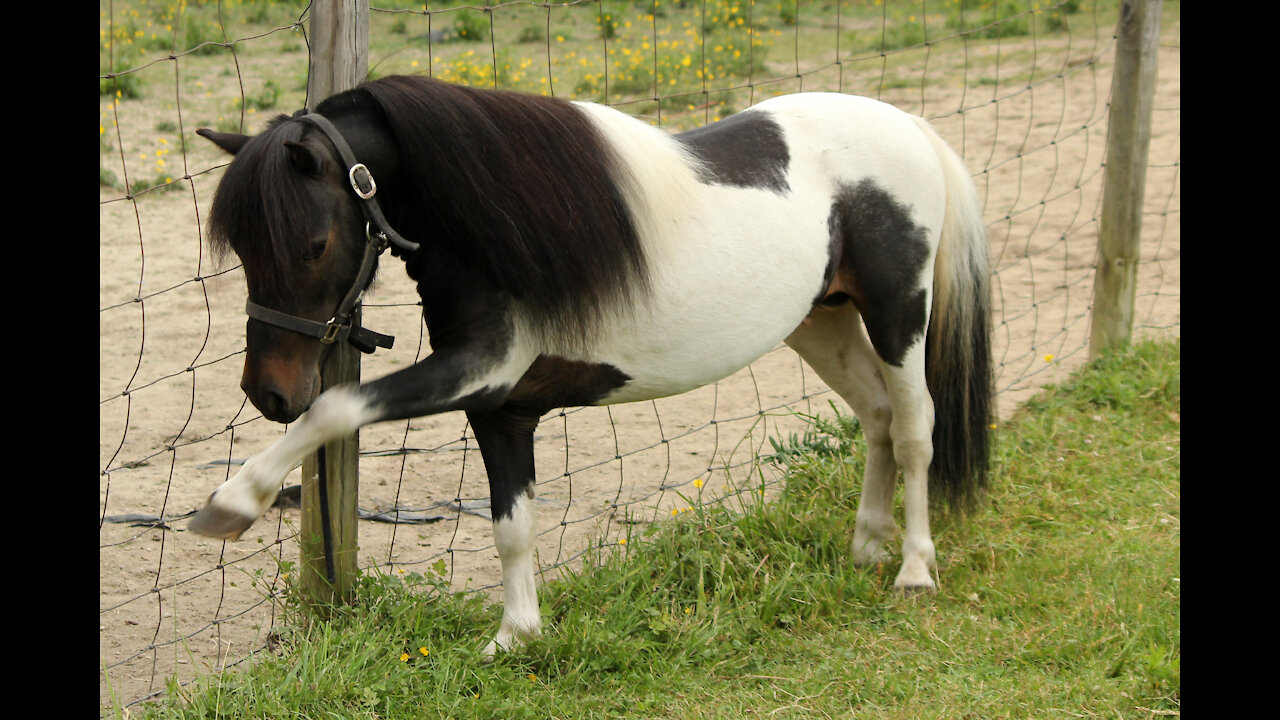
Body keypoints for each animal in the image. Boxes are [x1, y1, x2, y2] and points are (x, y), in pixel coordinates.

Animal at [186, 75, 988, 653]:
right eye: (245, 249)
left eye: (315, 243)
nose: (267, 392)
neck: (489, 233)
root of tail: (906, 125)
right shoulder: (499, 405)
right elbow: (512, 525)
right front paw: (515, 639)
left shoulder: (476, 372)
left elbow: (337, 407)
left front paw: (233, 503)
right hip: (821, 321)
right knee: (877, 417)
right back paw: (864, 547)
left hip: (897, 315)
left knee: (915, 430)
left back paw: (915, 570)